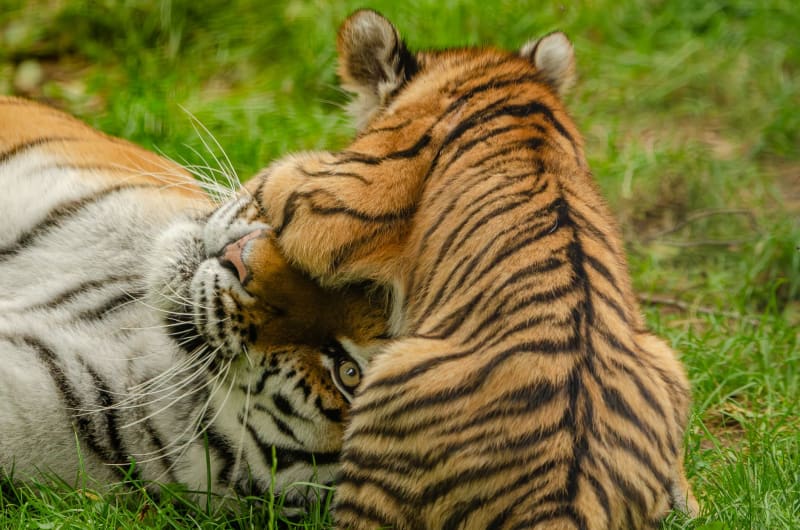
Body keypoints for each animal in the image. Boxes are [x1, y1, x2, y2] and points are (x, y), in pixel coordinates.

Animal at [240, 9, 700, 530]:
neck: (504, 80)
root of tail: (565, 505)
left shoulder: (342, 191)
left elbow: (276, 177)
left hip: (389, 389)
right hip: (666, 359)